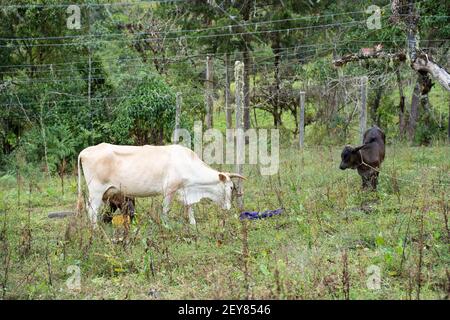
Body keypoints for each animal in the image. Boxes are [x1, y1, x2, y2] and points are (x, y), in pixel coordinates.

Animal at [77, 144, 246, 226]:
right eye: (231, 187)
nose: (229, 207)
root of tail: (85, 151)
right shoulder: (170, 189)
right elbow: (166, 210)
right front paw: (166, 225)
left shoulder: (185, 190)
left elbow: (190, 207)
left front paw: (192, 223)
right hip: (96, 192)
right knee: (92, 211)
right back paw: (95, 230)